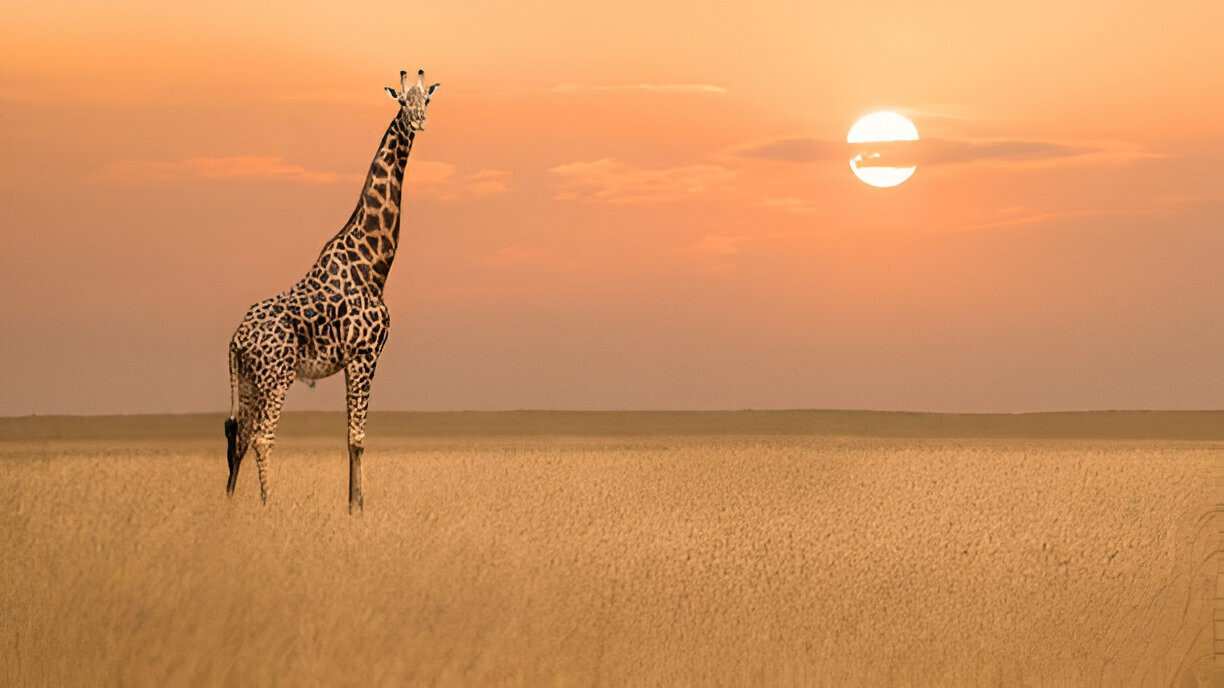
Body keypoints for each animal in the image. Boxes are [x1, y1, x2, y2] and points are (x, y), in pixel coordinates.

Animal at [224, 68, 440, 513]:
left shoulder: (352, 361)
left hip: (250, 379)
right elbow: (357, 439)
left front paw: (352, 504)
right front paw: (358, 508)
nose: (419, 121)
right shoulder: (364, 356)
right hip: (276, 376)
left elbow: (348, 438)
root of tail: (235, 339)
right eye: (401, 102)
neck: (374, 264)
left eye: (426, 99)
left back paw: (232, 505)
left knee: (239, 438)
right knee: (261, 438)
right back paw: (267, 506)